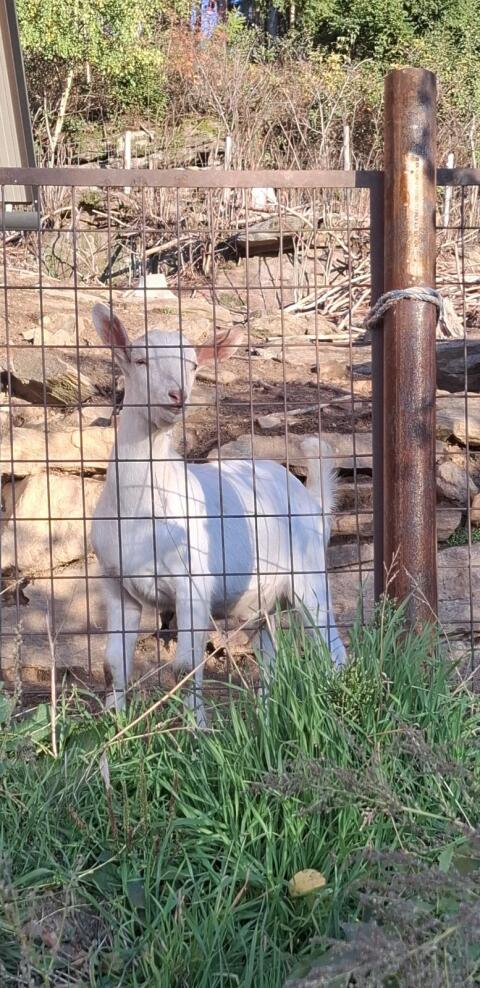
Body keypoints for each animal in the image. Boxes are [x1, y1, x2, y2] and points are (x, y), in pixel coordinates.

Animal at [91, 303, 346, 725]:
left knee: (330, 641)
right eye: (140, 360)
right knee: (270, 653)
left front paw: (197, 728)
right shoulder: (115, 584)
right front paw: (116, 724)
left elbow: (185, 664)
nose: (177, 395)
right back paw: (266, 713)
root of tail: (311, 500)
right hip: (259, 600)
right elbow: (115, 662)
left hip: (309, 573)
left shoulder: (193, 584)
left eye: (194, 365)